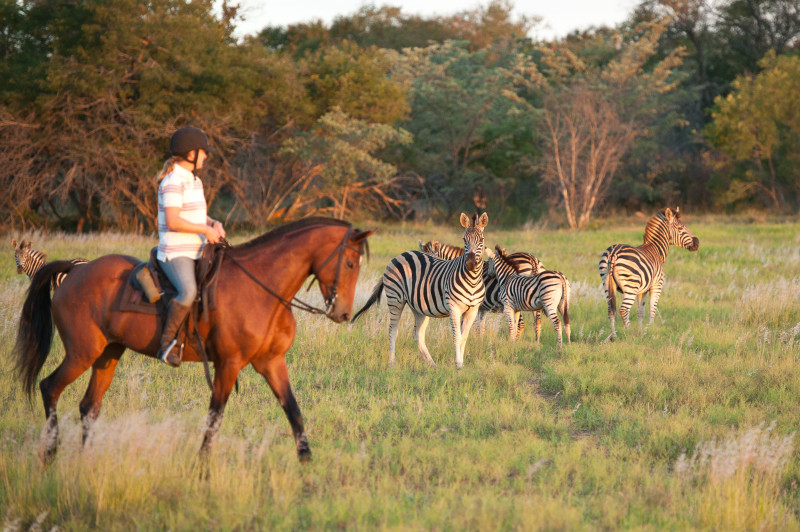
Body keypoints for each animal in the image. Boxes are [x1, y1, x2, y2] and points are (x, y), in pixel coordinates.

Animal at [13, 218, 376, 464]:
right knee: (50, 387)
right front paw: (202, 469)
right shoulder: (228, 365)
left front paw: (306, 464)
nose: (344, 313)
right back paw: (51, 453)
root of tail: (74, 273)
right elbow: (214, 418)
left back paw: (86, 460)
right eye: (349, 262)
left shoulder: (272, 363)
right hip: (81, 353)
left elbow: (294, 411)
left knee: (89, 406)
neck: (262, 288)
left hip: (108, 354)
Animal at [354, 212, 490, 370]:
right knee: (392, 330)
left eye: (481, 240)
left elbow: (464, 337)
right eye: (464, 239)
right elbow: (457, 337)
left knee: (417, 334)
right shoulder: (454, 308)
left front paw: (461, 365)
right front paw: (457, 364)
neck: (472, 279)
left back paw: (433, 365)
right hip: (395, 299)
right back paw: (392, 364)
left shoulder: (473, 310)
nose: (470, 263)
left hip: (418, 306)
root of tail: (400, 255)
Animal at [600, 206, 700, 338]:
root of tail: (613, 253)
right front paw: (650, 333)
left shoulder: (642, 290)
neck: (656, 250)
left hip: (607, 283)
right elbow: (652, 310)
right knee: (623, 310)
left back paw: (614, 336)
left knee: (611, 310)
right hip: (631, 286)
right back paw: (630, 334)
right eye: (680, 228)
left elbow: (640, 312)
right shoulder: (657, 285)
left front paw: (641, 331)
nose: (697, 243)